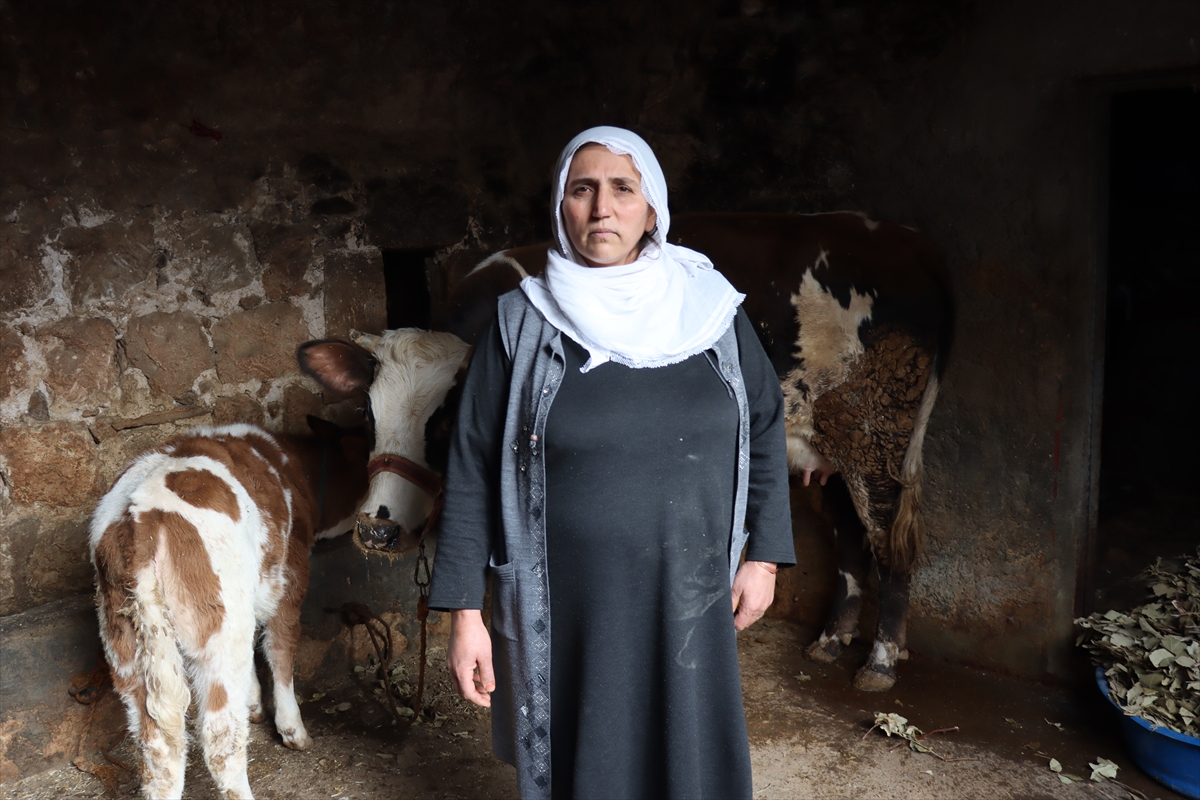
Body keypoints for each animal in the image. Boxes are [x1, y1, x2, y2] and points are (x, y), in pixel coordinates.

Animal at [89, 417, 370, 800]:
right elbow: (281, 647)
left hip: (125, 647)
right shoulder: (290, 575)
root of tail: (139, 521)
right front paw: (293, 729)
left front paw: (252, 703)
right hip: (217, 634)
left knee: (156, 749)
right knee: (220, 738)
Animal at [301, 211, 953, 692]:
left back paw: (880, 660)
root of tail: (912, 241)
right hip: (832, 446)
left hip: (879, 436)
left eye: (443, 424)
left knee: (887, 542)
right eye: (369, 414)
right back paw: (831, 641)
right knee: (850, 539)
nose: (377, 529)